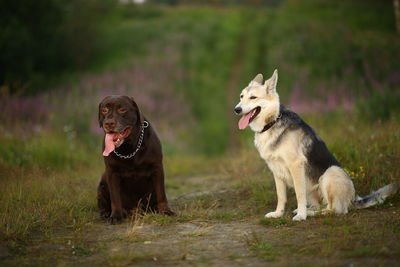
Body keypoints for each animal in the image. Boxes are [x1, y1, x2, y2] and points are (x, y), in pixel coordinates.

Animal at [96, 96, 173, 224]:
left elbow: (161, 193)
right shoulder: (112, 172)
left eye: (122, 110)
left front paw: (166, 211)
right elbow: (115, 198)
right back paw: (107, 213)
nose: (109, 123)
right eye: (104, 110)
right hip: (103, 181)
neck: (129, 148)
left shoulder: (157, 168)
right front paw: (116, 216)